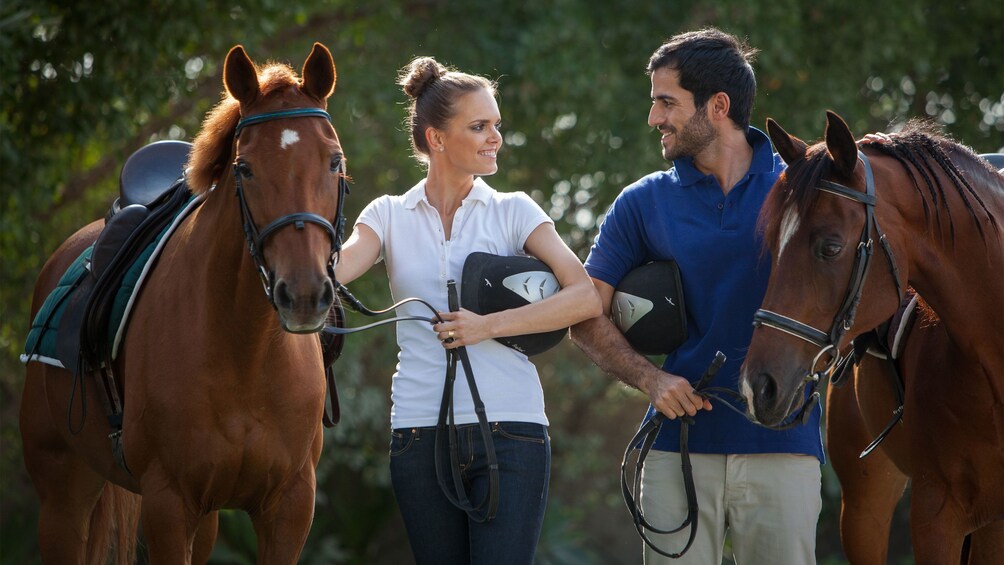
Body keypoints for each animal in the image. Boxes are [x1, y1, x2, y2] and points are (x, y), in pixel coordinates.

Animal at [20, 41, 345, 561]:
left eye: (334, 161)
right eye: (245, 168)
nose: (304, 295)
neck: (245, 352)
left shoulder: (290, 507)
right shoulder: (168, 504)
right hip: (62, 501)